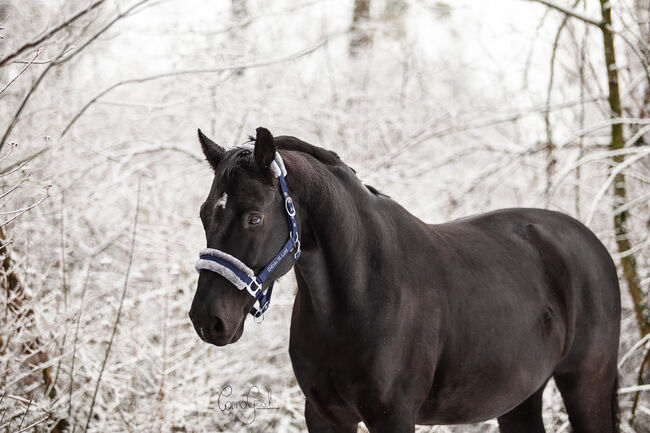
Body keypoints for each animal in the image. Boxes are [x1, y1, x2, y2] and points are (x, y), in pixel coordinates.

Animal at [187, 126, 616, 430]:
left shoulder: (392, 415)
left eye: (254, 218)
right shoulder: (324, 414)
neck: (358, 294)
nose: (207, 319)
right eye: (205, 214)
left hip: (585, 386)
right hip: (520, 399)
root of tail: (591, 243)